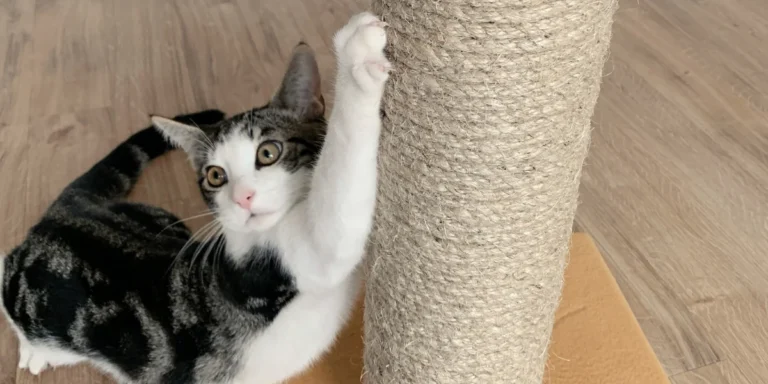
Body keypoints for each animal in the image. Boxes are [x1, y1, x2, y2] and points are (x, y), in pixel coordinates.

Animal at [0, 12, 390, 384]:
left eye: (268, 152)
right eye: (215, 176)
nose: (243, 198)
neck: (255, 238)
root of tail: (70, 207)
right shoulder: (278, 265)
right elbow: (338, 200)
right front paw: (356, 51)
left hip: (162, 217)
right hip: (19, 285)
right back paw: (34, 351)